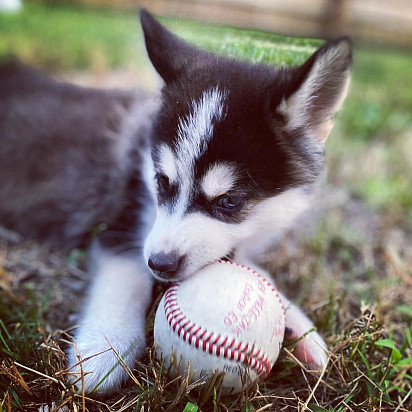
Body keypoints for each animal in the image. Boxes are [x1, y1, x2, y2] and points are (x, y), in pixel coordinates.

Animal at [0, 11, 350, 394]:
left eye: (230, 201)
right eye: (161, 182)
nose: (160, 264)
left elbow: (251, 270)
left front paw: (300, 326)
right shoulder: (123, 223)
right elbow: (125, 280)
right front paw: (106, 346)